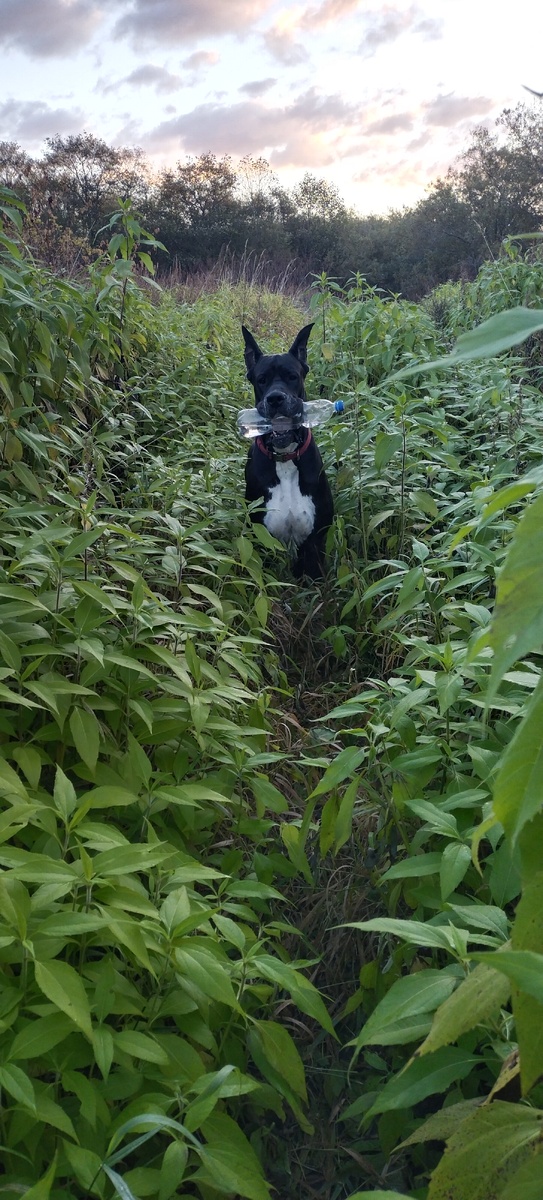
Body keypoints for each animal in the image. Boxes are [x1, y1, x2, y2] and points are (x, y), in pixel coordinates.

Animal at [242, 321, 333, 578]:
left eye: (293, 376)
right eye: (261, 379)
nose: (275, 398)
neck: (285, 459)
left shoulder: (314, 545)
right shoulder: (261, 539)